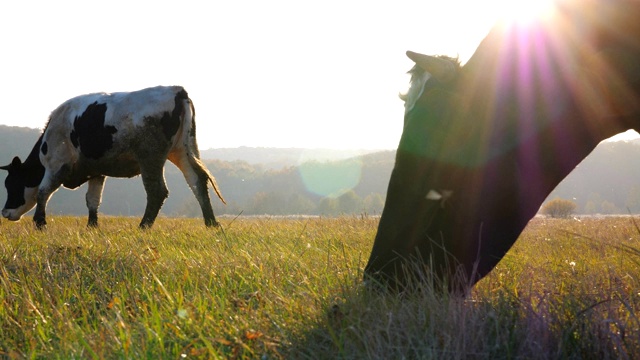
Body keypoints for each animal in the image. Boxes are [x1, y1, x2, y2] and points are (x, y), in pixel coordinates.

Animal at [0, 86, 226, 229]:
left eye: (11, 184)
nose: (4, 213)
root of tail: (176, 90)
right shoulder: (96, 171)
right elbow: (92, 200)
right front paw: (92, 227)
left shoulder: (57, 165)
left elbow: (43, 192)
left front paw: (40, 223)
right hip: (182, 151)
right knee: (197, 181)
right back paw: (211, 224)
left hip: (151, 157)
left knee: (157, 191)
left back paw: (143, 226)